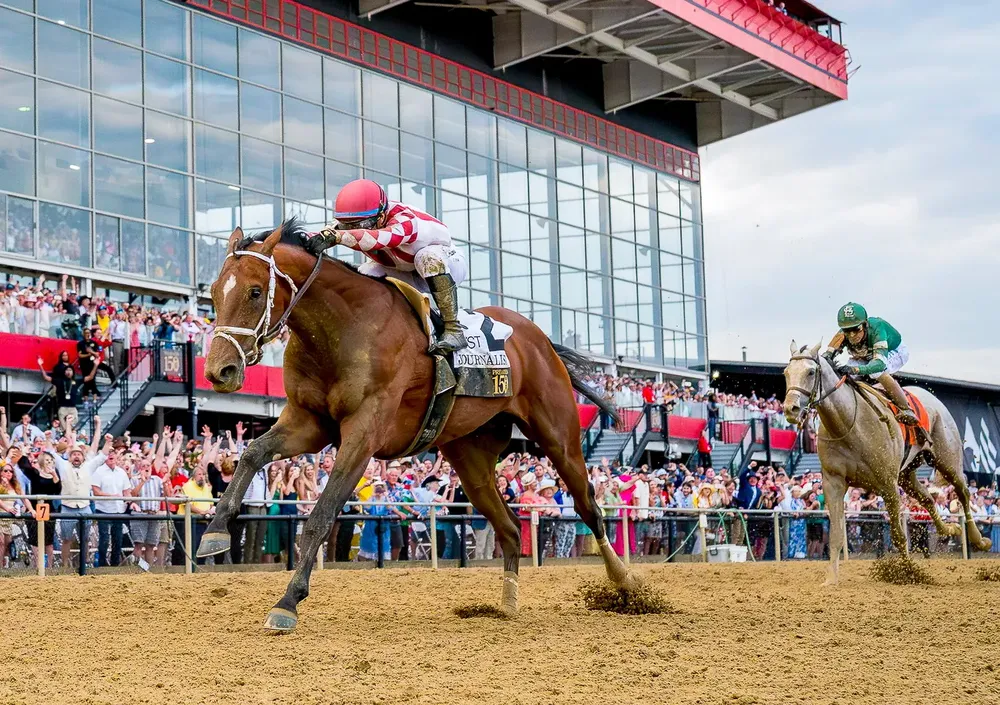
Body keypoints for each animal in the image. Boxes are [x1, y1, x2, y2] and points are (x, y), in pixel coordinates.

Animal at [197, 219, 637, 630]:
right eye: (215, 292)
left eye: (255, 292)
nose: (220, 371)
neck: (344, 328)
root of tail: (540, 339)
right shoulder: (308, 422)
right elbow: (252, 453)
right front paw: (214, 533)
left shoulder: (364, 432)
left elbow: (321, 514)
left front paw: (287, 602)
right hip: (471, 460)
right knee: (511, 528)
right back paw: (507, 604)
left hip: (559, 438)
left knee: (589, 508)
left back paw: (627, 585)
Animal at [782, 341, 991, 584]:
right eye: (786, 373)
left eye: (810, 372)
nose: (790, 409)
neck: (849, 424)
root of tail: (935, 401)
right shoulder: (833, 481)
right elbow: (835, 533)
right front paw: (831, 579)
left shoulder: (888, 485)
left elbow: (899, 536)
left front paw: (909, 572)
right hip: (907, 475)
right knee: (928, 498)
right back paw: (950, 529)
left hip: (946, 460)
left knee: (963, 492)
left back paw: (979, 540)